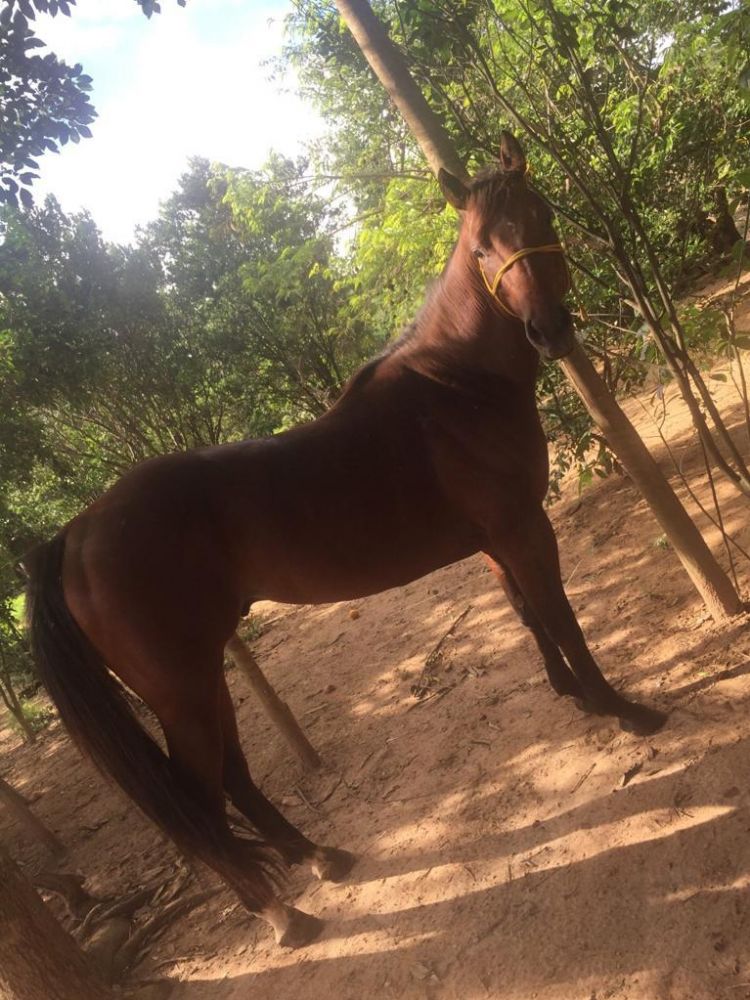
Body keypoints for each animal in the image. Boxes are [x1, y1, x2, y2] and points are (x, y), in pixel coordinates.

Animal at [26, 133, 666, 950]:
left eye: (541, 215)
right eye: (482, 247)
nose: (550, 330)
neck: (453, 386)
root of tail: (72, 535)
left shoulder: (498, 538)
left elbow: (529, 617)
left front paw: (575, 697)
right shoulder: (525, 527)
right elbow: (562, 617)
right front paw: (622, 709)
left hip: (201, 674)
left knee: (232, 778)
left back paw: (321, 856)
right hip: (181, 688)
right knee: (199, 805)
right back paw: (283, 914)